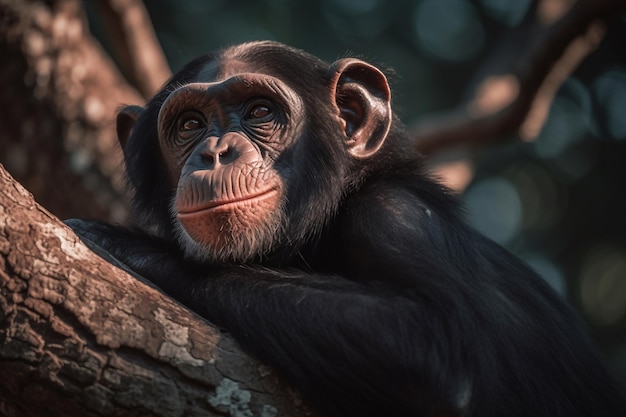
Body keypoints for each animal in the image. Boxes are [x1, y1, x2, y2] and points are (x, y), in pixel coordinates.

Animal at [66, 39, 620, 416]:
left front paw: (130, 245)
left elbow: (441, 347)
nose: (215, 152)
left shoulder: (396, 217)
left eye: (260, 111)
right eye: (190, 125)